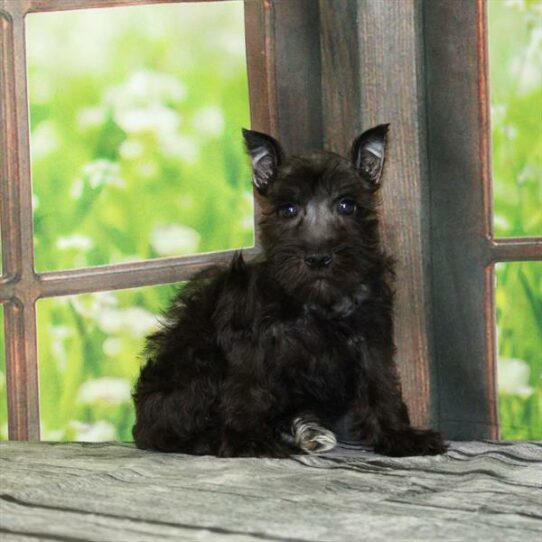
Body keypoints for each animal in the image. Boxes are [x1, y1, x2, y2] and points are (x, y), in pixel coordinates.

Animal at [132, 126, 446, 460]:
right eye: (289, 209)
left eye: (346, 205)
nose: (318, 258)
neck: (317, 302)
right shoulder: (250, 343)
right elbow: (246, 389)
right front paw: (247, 440)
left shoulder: (371, 338)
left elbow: (382, 385)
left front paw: (399, 436)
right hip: (198, 365)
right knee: (170, 430)